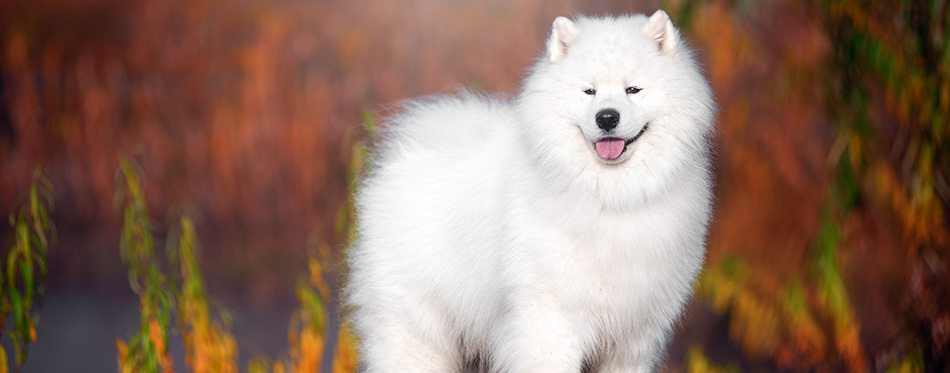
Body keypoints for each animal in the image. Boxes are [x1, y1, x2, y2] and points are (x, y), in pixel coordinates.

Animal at [348, 10, 712, 370]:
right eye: (589, 91)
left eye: (633, 89)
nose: (607, 117)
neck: (611, 196)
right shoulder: (550, 316)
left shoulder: (634, 337)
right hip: (414, 329)